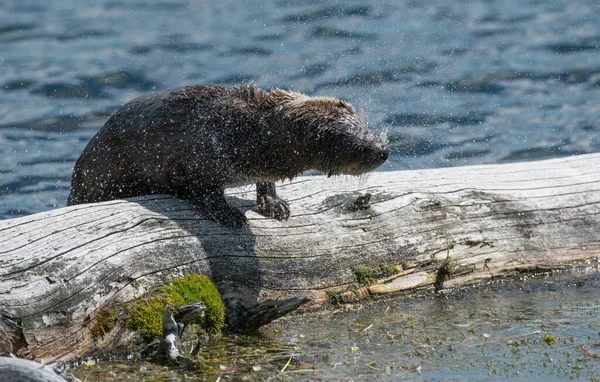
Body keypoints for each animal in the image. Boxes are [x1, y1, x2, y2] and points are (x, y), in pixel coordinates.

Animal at [68, 86, 390, 227]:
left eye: (368, 127)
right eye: (360, 147)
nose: (383, 150)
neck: (247, 131)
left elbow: (266, 182)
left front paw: (274, 204)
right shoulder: (201, 155)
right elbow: (203, 190)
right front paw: (229, 214)